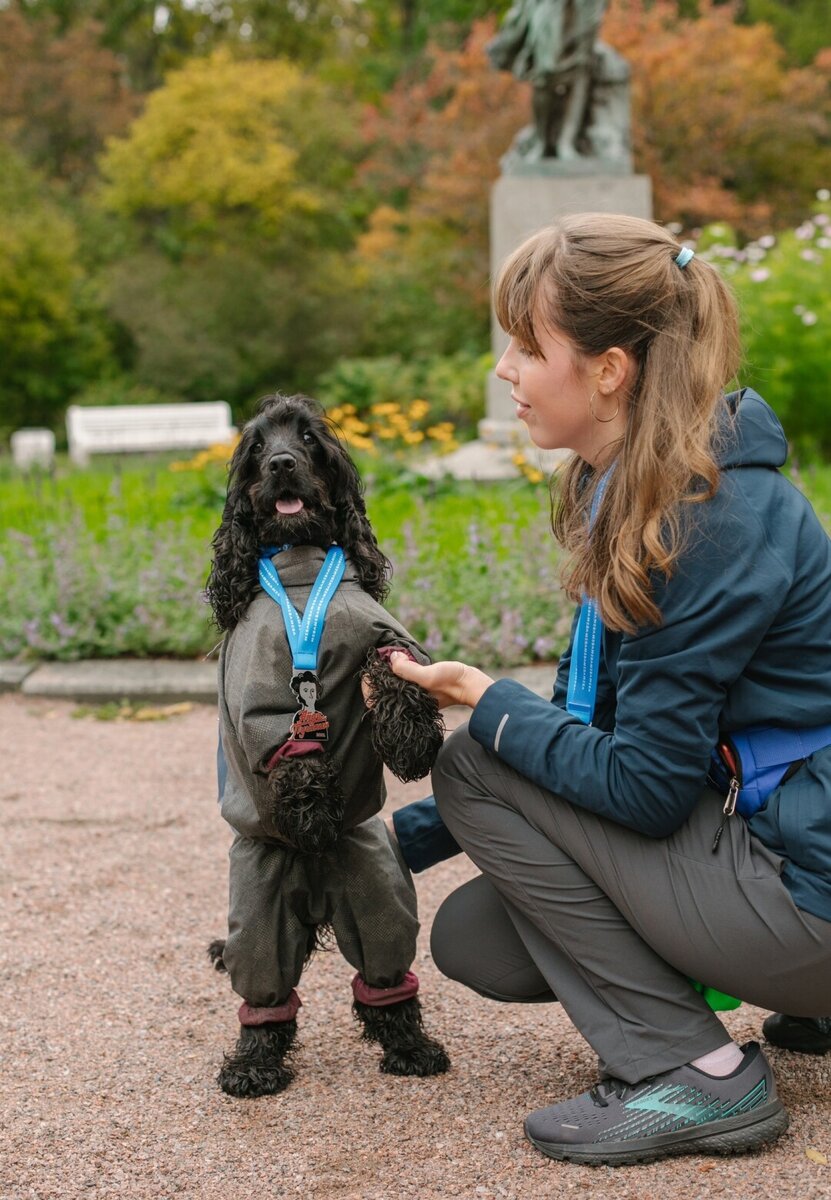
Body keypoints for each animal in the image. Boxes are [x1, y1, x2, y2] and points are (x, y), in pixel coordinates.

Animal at [205, 391, 451, 1099]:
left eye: (310, 439)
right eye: (257, 447)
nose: (283, 463)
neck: (297, 568)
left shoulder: (378, 628)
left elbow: (396, 663)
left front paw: (412, 739)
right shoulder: (257, 682)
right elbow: (287, 736)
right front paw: (311, 811)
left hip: (375, 881)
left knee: (385, 973)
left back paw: (411, 1047)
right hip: (259, 899)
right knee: (265, 989)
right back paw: (254, 1066)